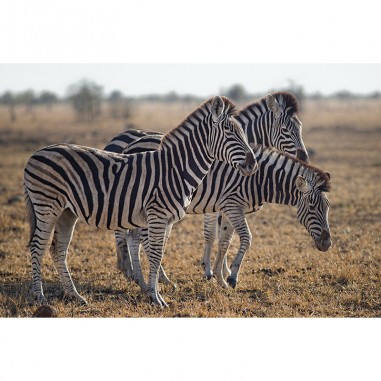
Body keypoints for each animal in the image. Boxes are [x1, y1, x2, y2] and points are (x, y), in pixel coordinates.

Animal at [23, 96, 255, 308]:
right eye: (229, 131)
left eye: (242, 132)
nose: (253, 164)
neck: (176, 169)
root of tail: (35, 154)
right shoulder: (157, 215)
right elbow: (155, 254)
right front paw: (156, 298)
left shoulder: (165, 219)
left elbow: (157, 253)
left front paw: (155, 292)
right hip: (47, 206)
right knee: (38, 246)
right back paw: (39, 296)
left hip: (67, 212)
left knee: (58, 249)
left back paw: (75, 295)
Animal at [104, 92, 308, 286]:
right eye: (285, 130)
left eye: (300, 128)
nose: (304, 158)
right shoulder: (221, 201)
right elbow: (213, 235)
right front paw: (213, 272)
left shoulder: (218, 204)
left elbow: (223, 236)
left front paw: (220, 270)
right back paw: (138, 272)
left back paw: (130, 270)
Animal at [117, 138, 328, 290]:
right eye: (311, 207)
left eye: (327, 207)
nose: (327, 244)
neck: (258, 179)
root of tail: (130, 146)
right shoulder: (232, 205)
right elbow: (246, 238)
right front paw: (232, 276)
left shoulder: (228, 209)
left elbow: (225, 242)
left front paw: (219, 278)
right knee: (142, 240)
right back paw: (153, 280)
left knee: (134, 238)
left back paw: (145, 279)